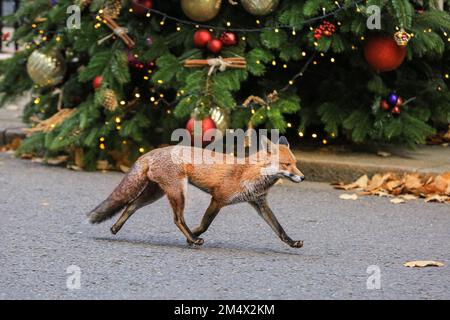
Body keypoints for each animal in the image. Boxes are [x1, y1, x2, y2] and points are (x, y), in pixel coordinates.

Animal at [87, 136, 306, 249]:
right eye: (287, 165)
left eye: (296, 163)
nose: (303, 178)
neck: (249, 172)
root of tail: (152, 151)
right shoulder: (218, 199)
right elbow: (205, 224)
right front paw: (193, 235)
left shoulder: (259, 203)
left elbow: (279, 229)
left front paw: (292, 242)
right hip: (178, 192)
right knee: (177, 219)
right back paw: (193, 239)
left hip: (155, 194)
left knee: (130, 205)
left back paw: (115, 227)